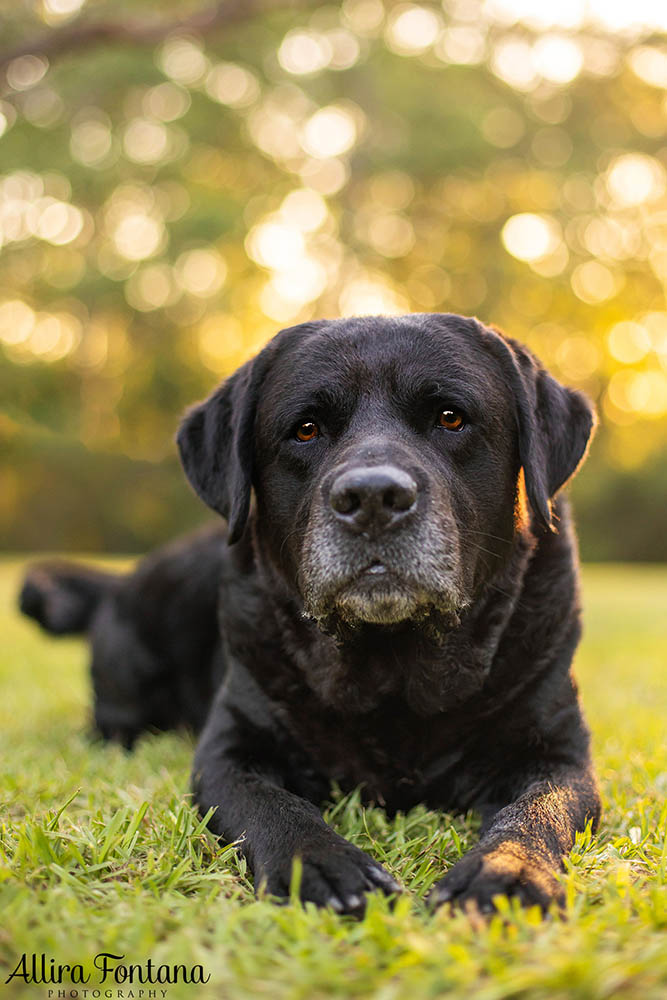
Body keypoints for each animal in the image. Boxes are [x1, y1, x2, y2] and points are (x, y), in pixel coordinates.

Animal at [23, 314, 604, 916]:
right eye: (305, 430)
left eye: (450, 418)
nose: (372, 497)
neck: (391, 668)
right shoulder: (229, 750)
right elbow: (271, 803)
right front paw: (320, 864)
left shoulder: (558, 752)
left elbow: (537, 811)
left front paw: (507, 872)